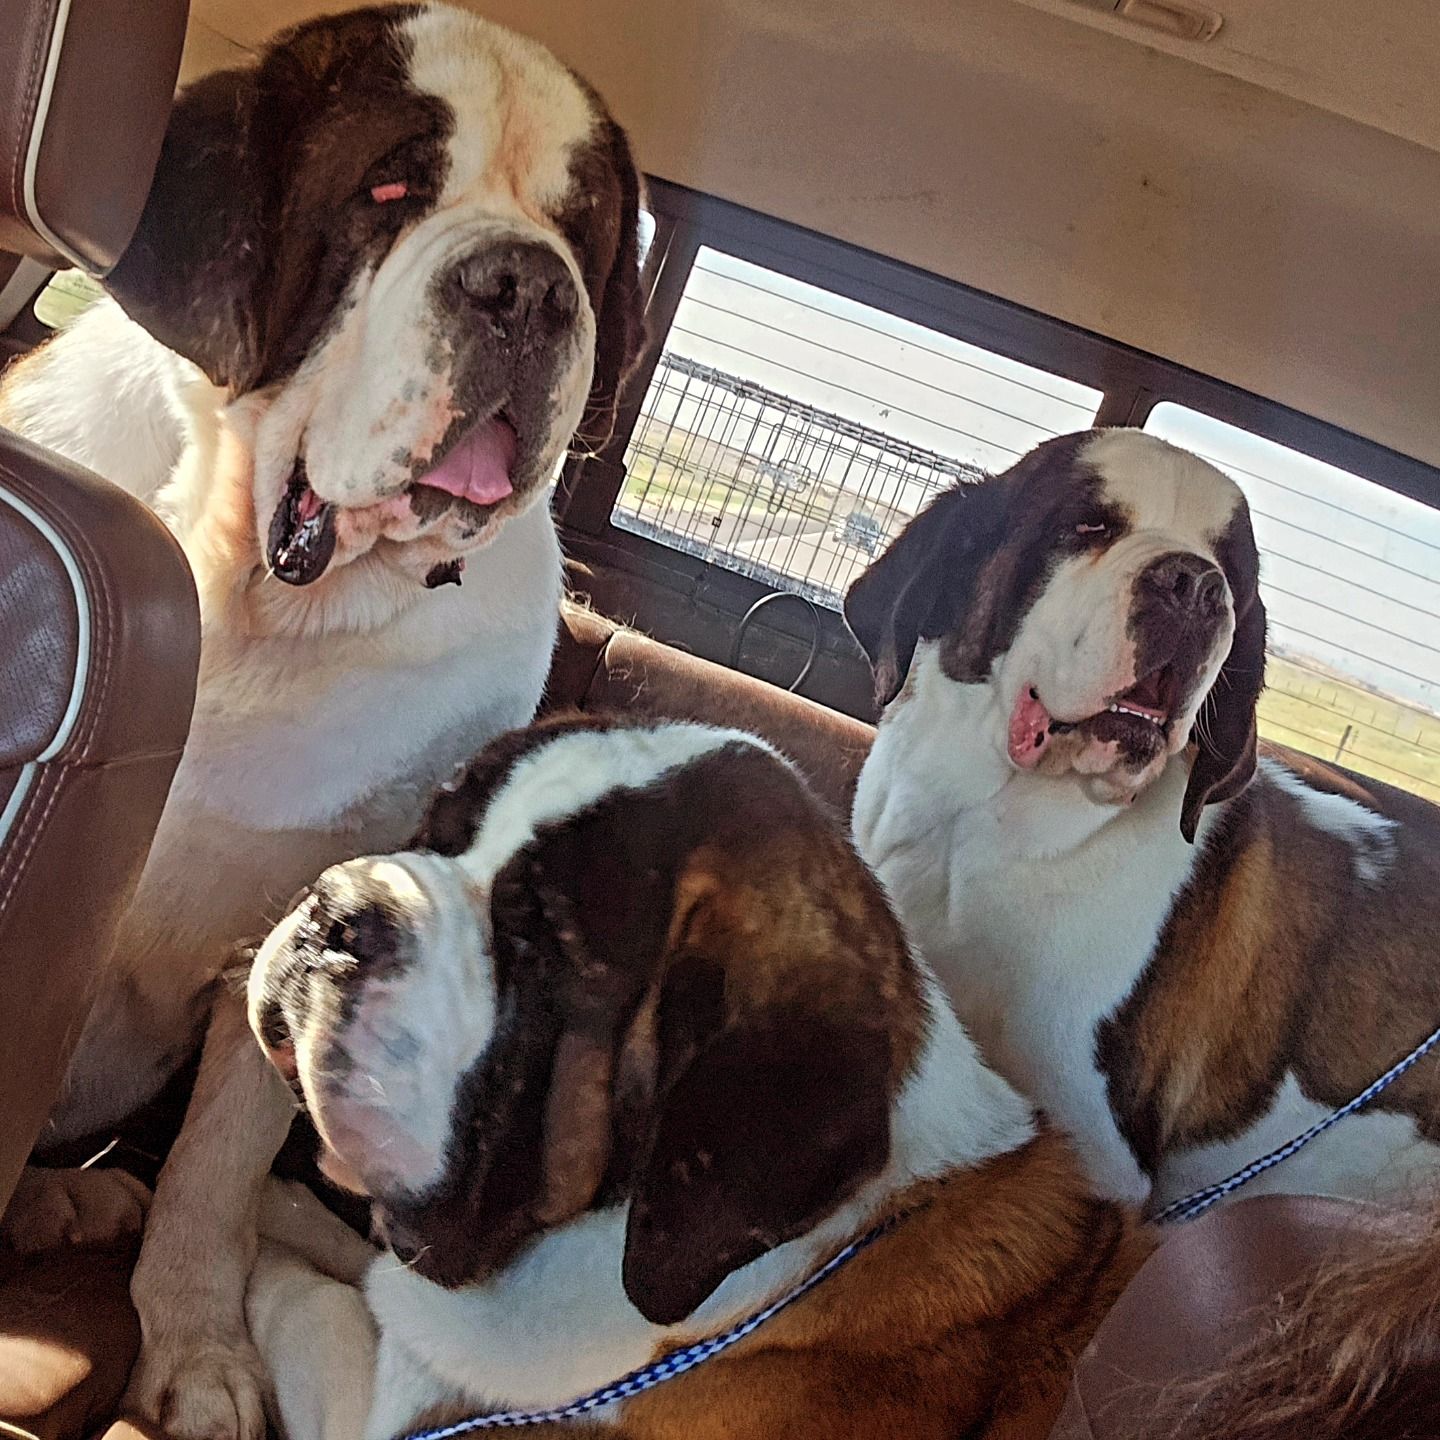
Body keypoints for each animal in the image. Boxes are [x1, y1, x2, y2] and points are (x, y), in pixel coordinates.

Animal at [0, 6, 643, 1436]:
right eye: (389, 191)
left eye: (580, 230)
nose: (530, 287)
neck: (244, 580)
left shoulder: (302, 934)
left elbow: (215, 1175)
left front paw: (196, 1351)